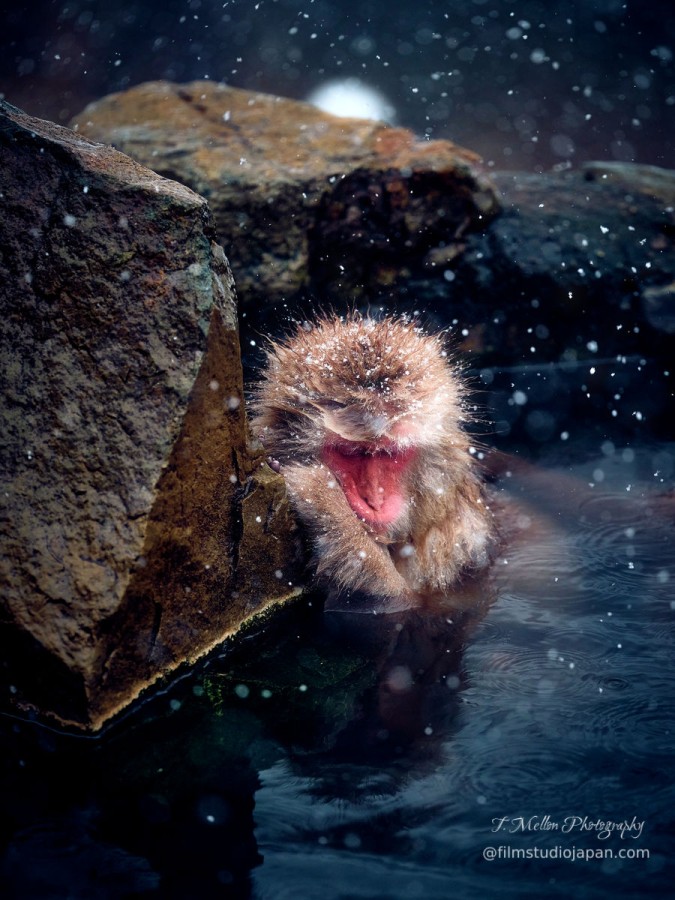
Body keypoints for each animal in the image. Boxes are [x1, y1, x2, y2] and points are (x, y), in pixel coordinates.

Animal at [251, 314, 496, 613]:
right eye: (350, 452)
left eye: (389, 454)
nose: (374, 500)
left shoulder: (458, 542)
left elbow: (406, 603)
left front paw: (320, 497)